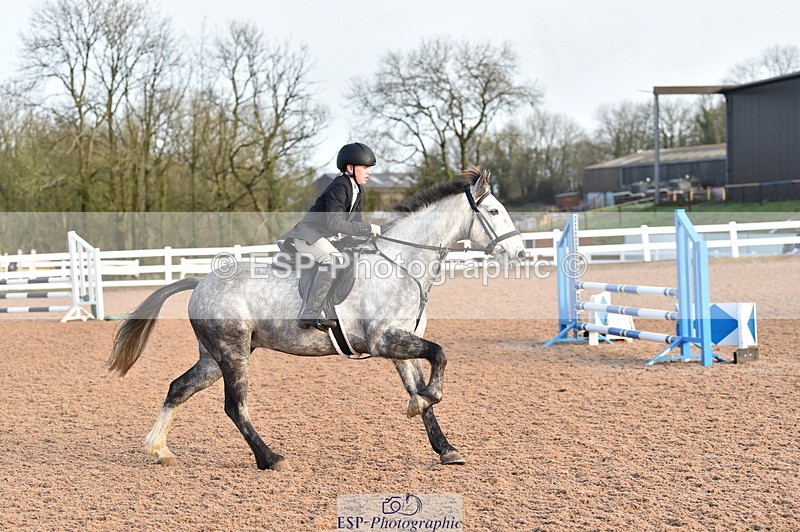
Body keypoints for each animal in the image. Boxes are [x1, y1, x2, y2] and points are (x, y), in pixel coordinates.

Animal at [108, 166, 526, 470]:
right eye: (493, 211)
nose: (520, 254)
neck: (403, 265)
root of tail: (201, 281)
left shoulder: (400, 347)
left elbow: (423, 386)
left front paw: (444, 445)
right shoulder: (386, 341)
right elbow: (439, 356)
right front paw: (422, 404)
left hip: (214, 357)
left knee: (179, 388)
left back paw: (158, 450)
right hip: (233, 352)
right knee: (234, 406)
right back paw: (270, 458)